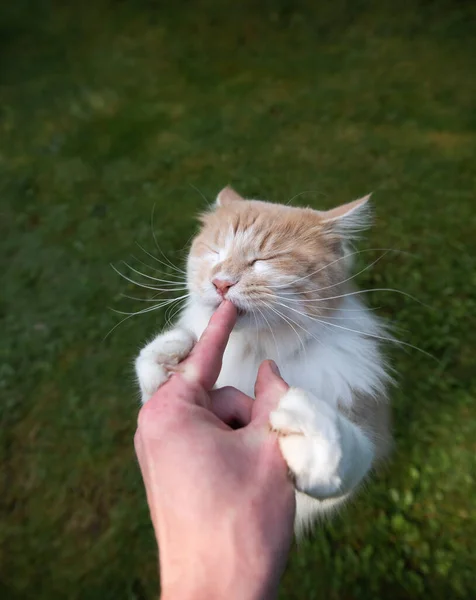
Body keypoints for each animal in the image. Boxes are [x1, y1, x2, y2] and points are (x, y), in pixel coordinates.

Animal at [134, 185, 390, 532]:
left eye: (265, 259)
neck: (255, 350)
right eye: (216, 252)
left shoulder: (368, 433)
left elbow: (348, 453)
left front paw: (310, 433)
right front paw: (170, 353)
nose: (221, 282)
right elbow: (150, 377)